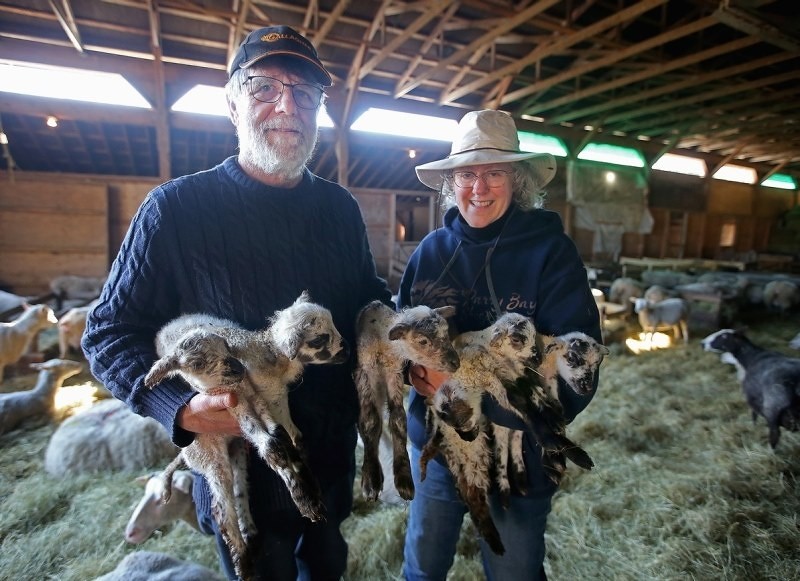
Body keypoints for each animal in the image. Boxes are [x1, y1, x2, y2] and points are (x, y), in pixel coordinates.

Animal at [354, 302, 460, 500]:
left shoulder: (393, 371)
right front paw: (371, 479)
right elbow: (370, 421)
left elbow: (398, 419)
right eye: (423, 341)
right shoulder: (365, 370)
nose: (455, 363)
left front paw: (404, 479)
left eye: (446, 331)